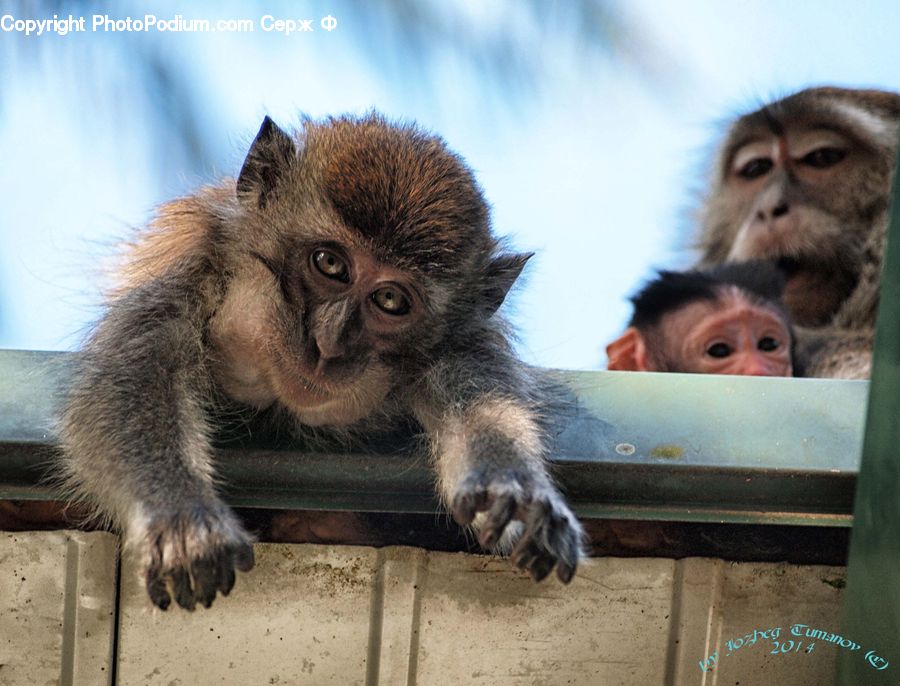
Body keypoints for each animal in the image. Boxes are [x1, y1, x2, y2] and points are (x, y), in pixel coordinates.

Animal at [58, 113, 584, 611]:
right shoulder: (192, 272)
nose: (329, 344)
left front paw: (512, 492)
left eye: (390, 300)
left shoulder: (463, 345)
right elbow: (132, 379)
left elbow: (479, 406)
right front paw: (182, 518)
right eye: (330, 264)